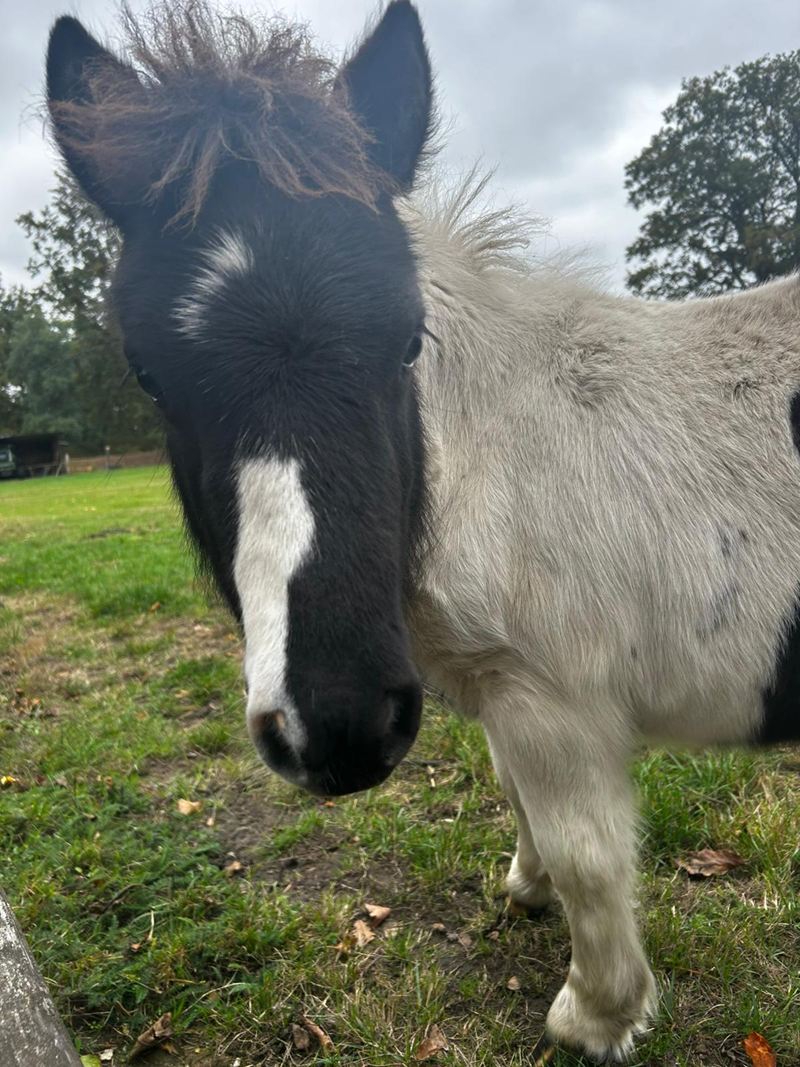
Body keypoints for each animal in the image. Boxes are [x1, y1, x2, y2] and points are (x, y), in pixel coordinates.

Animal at [45, 2, 800, 1060]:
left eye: (407, 340)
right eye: (150, 372)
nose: (339, 726)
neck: (490, 462)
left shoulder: (555, 705)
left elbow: (589, 857)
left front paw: (595, 1013)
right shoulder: (503, 697)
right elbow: (518, 800)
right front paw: (524, 888)